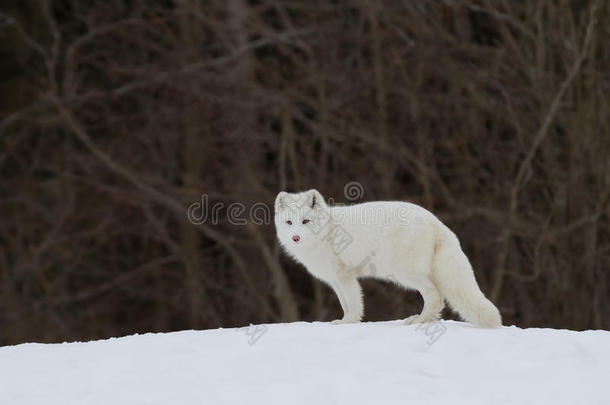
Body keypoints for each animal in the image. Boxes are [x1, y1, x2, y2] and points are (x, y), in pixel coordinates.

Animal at [274, 190, 498, 328]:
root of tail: (438, 223)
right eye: (289, 222)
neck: (328, 232)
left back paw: (419, 321)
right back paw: (423, 320)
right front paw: (346, 322)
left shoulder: (346, 275)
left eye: (305, 221)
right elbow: (345, 303)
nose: (295, 237)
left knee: (434, 296)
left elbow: (353, 304)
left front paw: (348, 323)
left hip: (404, 274)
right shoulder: (335, 281)